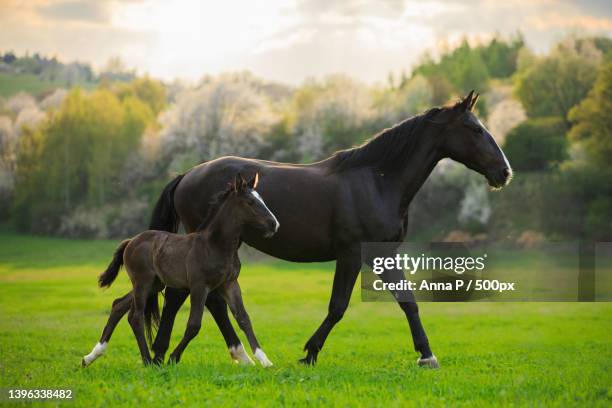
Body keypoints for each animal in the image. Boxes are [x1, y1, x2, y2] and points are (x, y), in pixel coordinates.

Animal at [151, 91, 512, 368]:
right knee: (194, 297)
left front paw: (427, 355)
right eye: (473, 128)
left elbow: (408, 301)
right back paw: (176, 354)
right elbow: (338, 306)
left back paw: (213, 355)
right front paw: (310, 352)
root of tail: (187, 175)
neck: (377, 181)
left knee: (198, 298)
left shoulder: (383, 254)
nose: (504, 172)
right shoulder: (351, 255)